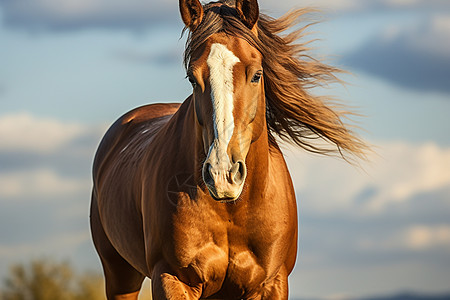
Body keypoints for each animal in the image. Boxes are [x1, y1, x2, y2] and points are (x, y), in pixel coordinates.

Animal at [89, 0, 368, 298]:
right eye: (192, 77)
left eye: (257, 74)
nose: (223, 174)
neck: (233, 209)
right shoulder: (171, 277)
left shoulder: (272, 283)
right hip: (119, 274)